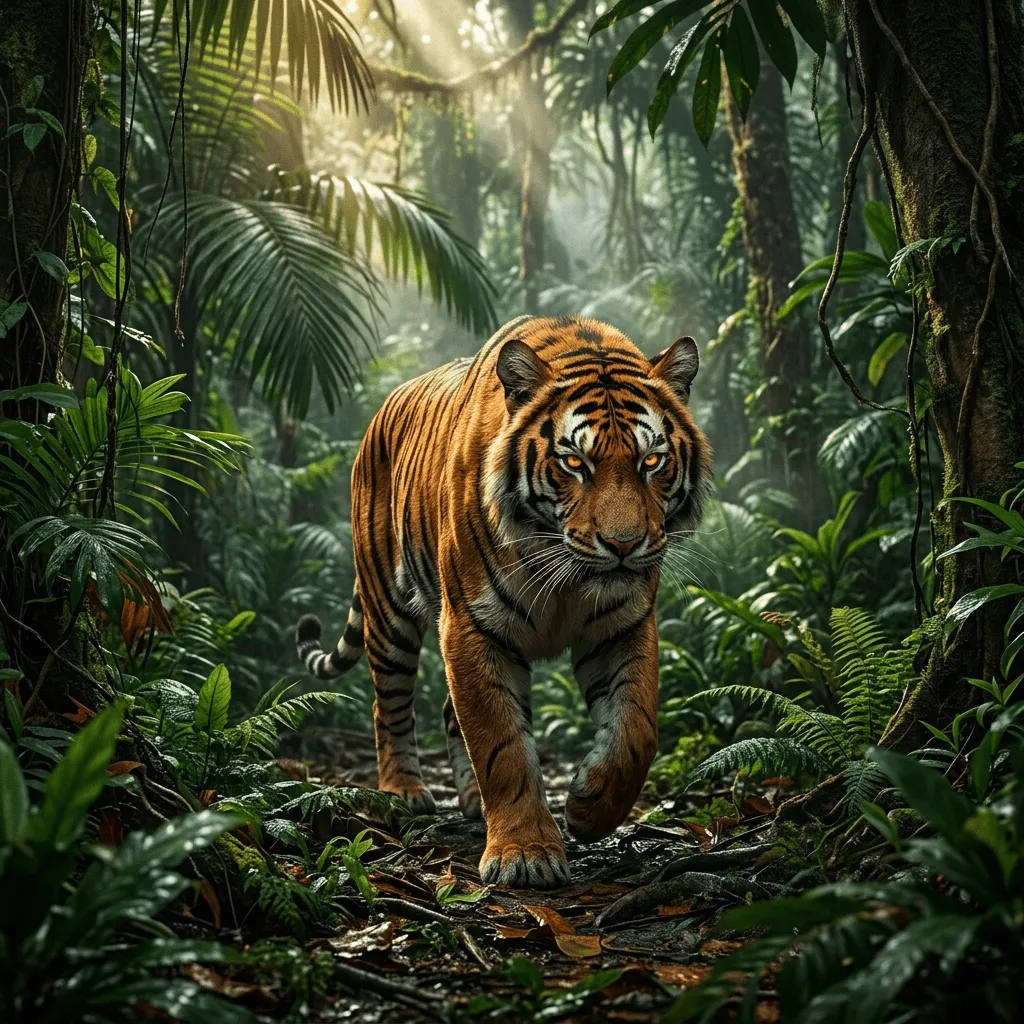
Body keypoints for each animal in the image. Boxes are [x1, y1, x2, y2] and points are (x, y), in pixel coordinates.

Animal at [295, 315, 712, 889]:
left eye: (652, 460)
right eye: (573, 462)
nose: (623, 545)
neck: (566, 575)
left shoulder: (622, 625)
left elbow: (637, 732)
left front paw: (589, 806)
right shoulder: (472, 626)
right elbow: (502, 745)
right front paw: (526, 853)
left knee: (449, 710)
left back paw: (472, 800)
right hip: (388, 611)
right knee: (390, 705)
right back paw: (404, 793)